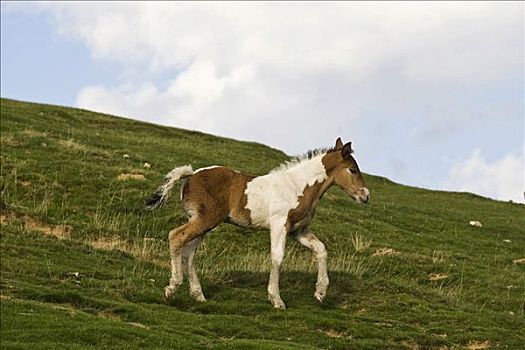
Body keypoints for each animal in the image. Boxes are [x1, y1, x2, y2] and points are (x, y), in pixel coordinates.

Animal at [145, 137, 370, 308]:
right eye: (352, 170)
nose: (365, 196)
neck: (297, 186)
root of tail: (190, 175)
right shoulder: (280, 225)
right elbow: (278, 257)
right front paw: (276, 299)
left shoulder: (298, 230)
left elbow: (321, 250)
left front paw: (320, 293)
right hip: (206, 219)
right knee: (176, 236)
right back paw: (172, 287)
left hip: (204, 222)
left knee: (189, 252)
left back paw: (198, 295)